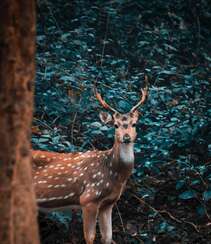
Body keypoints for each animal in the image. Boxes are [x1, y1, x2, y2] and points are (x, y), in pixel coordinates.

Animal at [32, 86, 148, 244]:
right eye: (115, 125)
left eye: (134, 124)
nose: (126, 137)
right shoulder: (89, 198)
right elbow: (90, 237)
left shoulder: (108, 203)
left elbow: (107, 237)